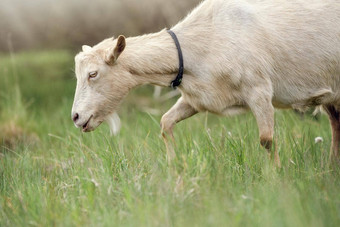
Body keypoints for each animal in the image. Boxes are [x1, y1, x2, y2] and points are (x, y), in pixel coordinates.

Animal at [71, 0, 340, 166]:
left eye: (93, 74)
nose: (75, 117)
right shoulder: (197, 98)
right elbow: (165, 123)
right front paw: (174, 166)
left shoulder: (259, 89)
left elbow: (266, 139)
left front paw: (275, 177)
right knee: (336, 124)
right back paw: (331, 166)